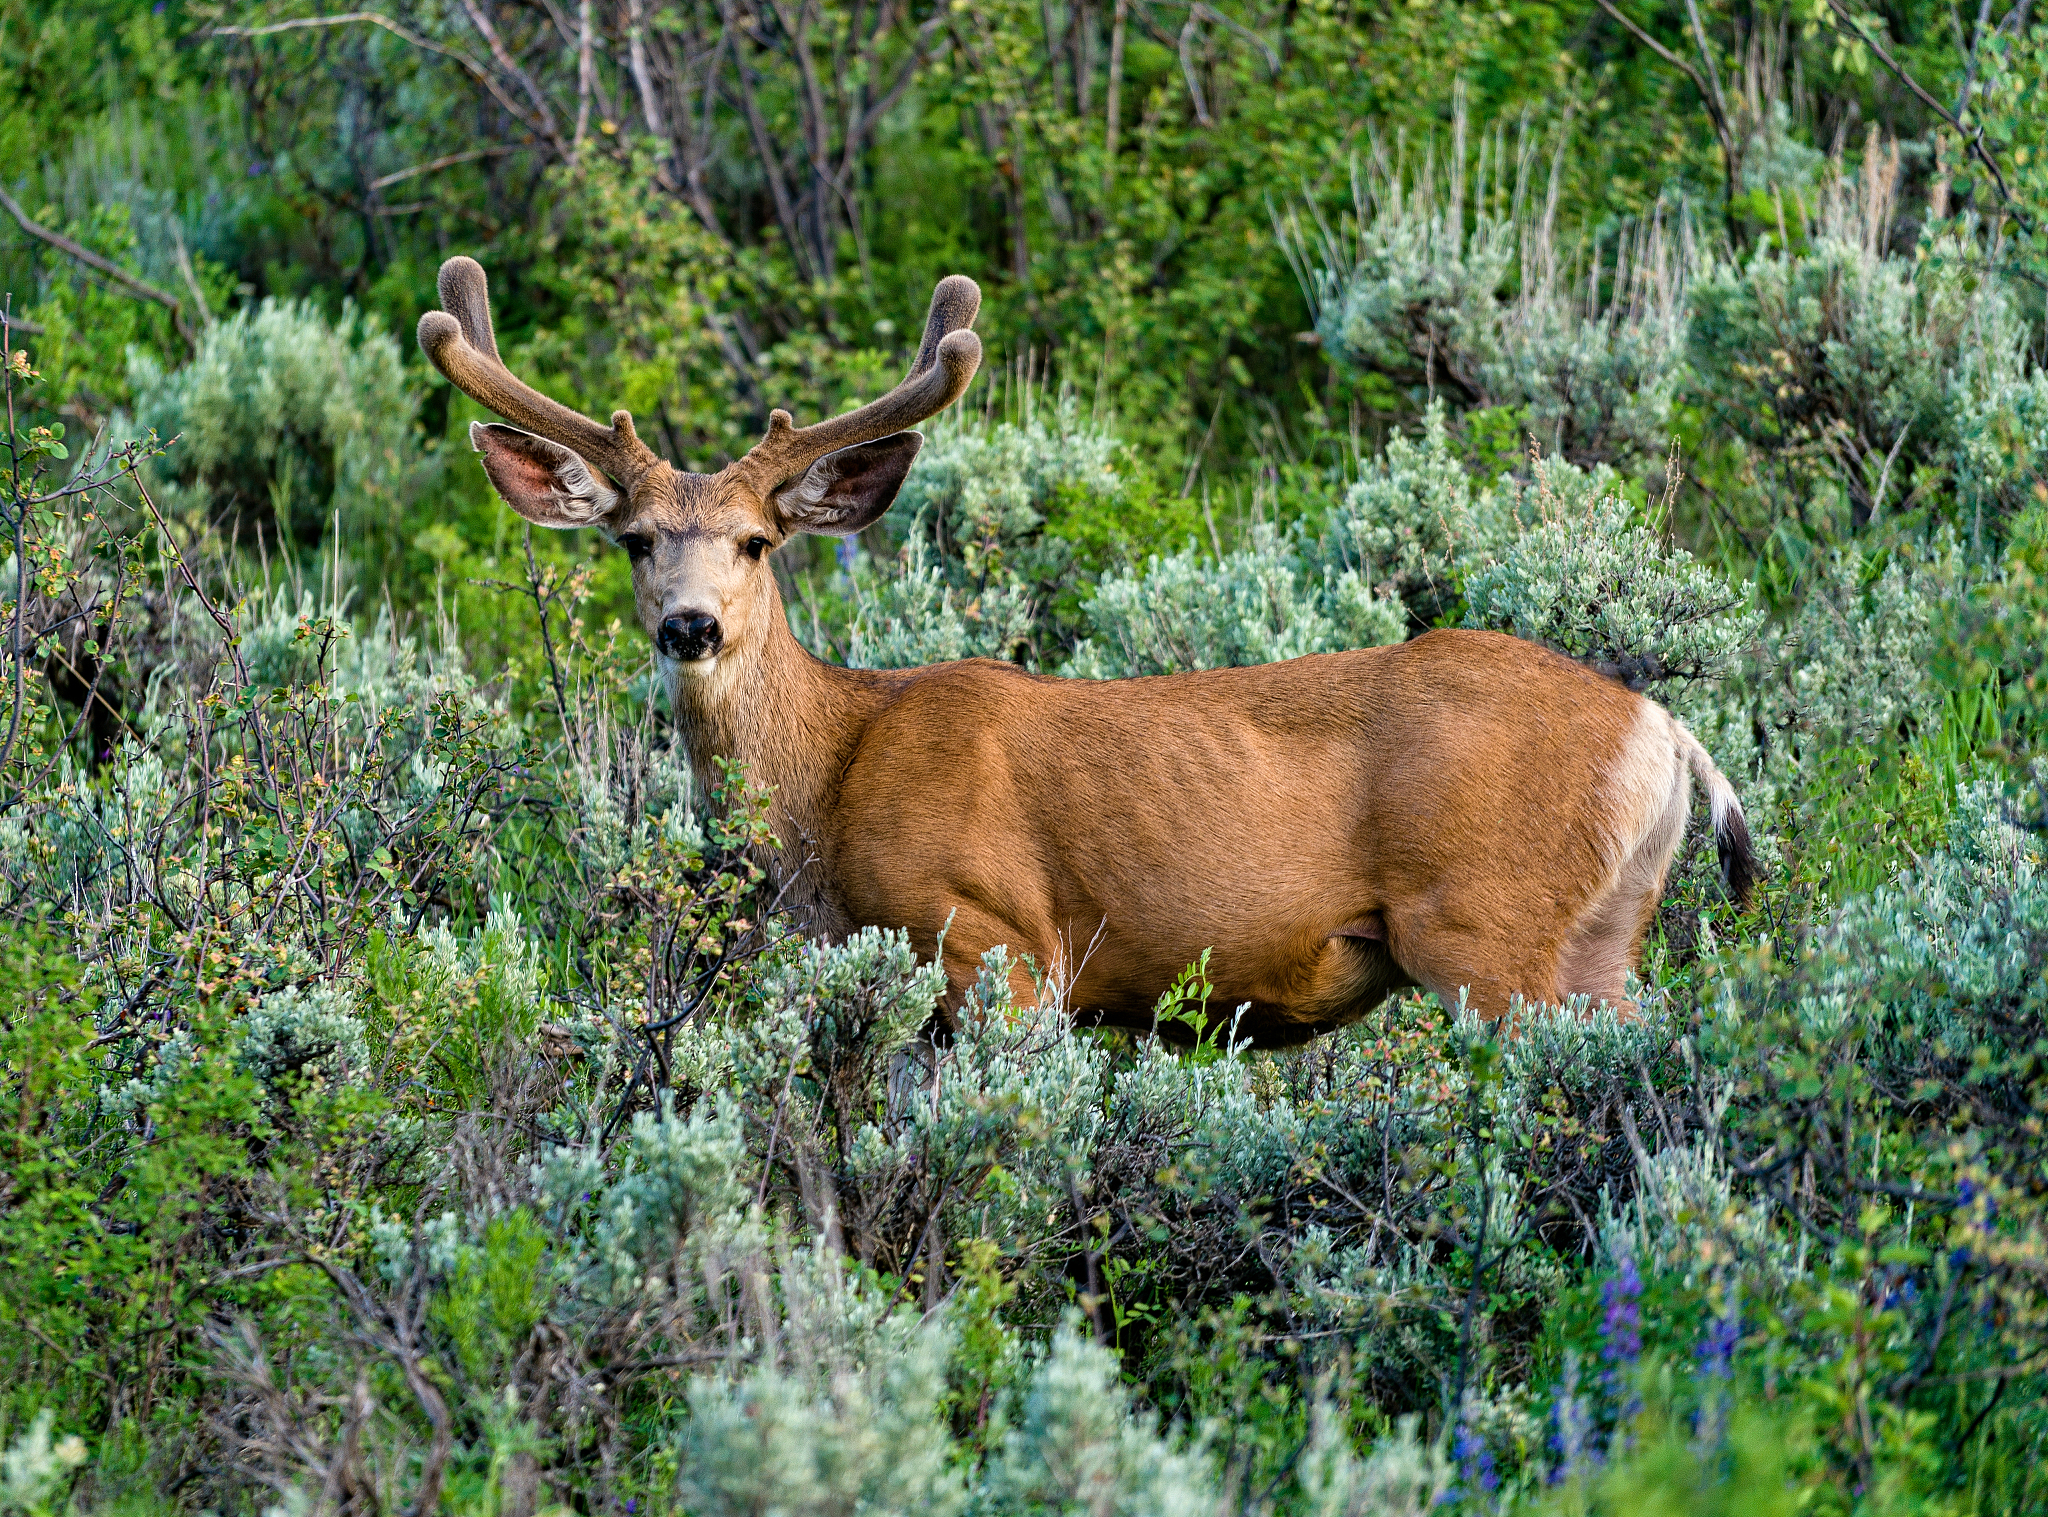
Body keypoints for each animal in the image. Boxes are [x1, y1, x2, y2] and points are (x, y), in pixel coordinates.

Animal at [418, 257, 1755, 1043]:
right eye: (636, 539)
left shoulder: (992, 935)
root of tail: (1663, 731)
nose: (689, 623)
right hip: (1598, 932)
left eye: (755, 541)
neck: (827, 787)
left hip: (1489, 922)